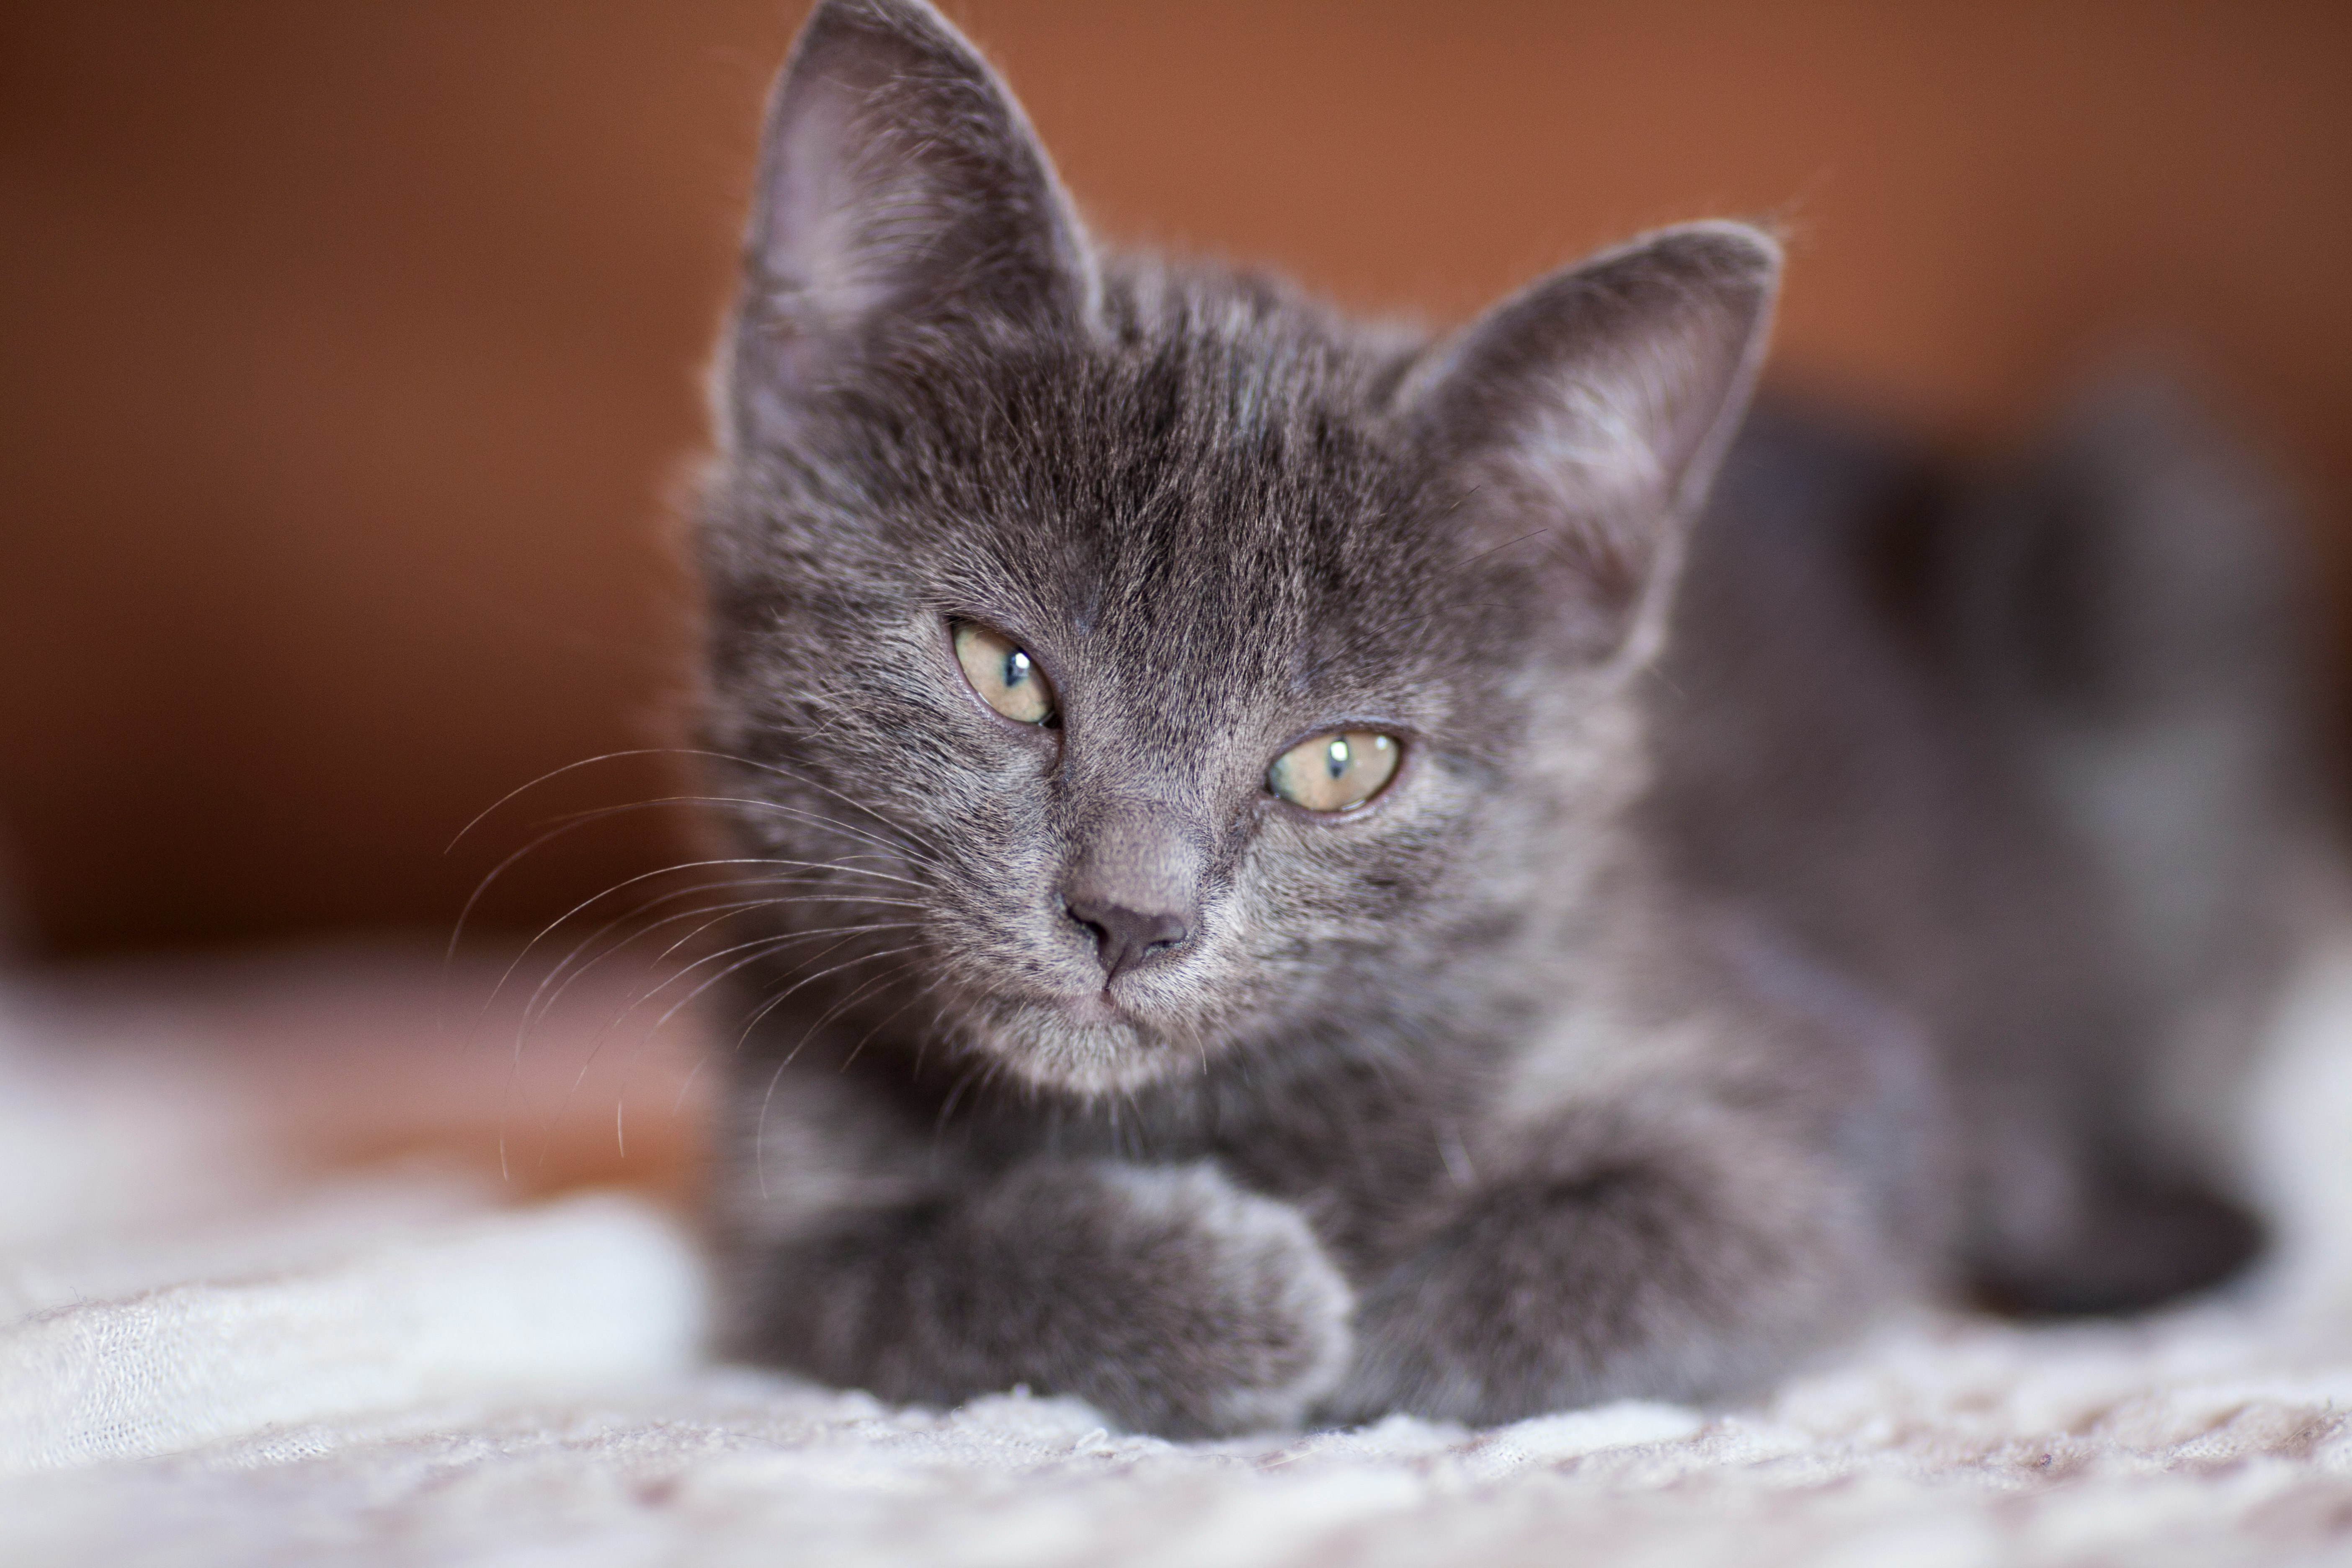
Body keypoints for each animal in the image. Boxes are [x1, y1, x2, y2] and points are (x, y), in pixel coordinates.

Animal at [686, 0, 2314, 1439]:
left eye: (1341, 762)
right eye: (1003, 668)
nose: (1128, 916)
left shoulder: (1846, 1094)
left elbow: (1685, 1229)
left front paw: (1360, 1320)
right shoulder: (777, 1167)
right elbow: (867, 1287)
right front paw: (1213, 1295)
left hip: (2148, 543)